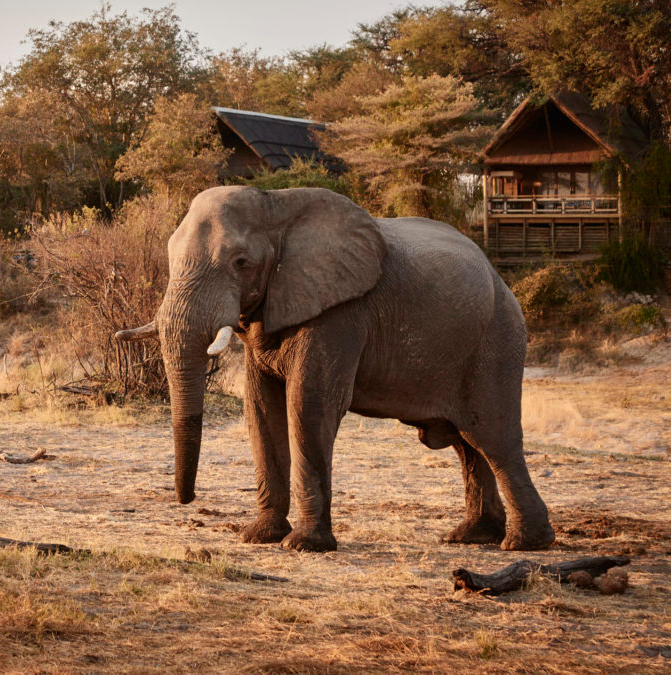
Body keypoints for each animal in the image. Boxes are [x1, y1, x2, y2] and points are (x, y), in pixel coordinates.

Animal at [116, 186, 555, 552]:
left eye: (241, 262)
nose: (186, 499)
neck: (277, 206)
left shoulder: (342, 312)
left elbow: (309, 405)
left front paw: (303, 545)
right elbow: (260, 409)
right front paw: (259, 536)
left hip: (496, 341)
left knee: (493, 438)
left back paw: (523, 544)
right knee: (467, 444)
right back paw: (471, 537)